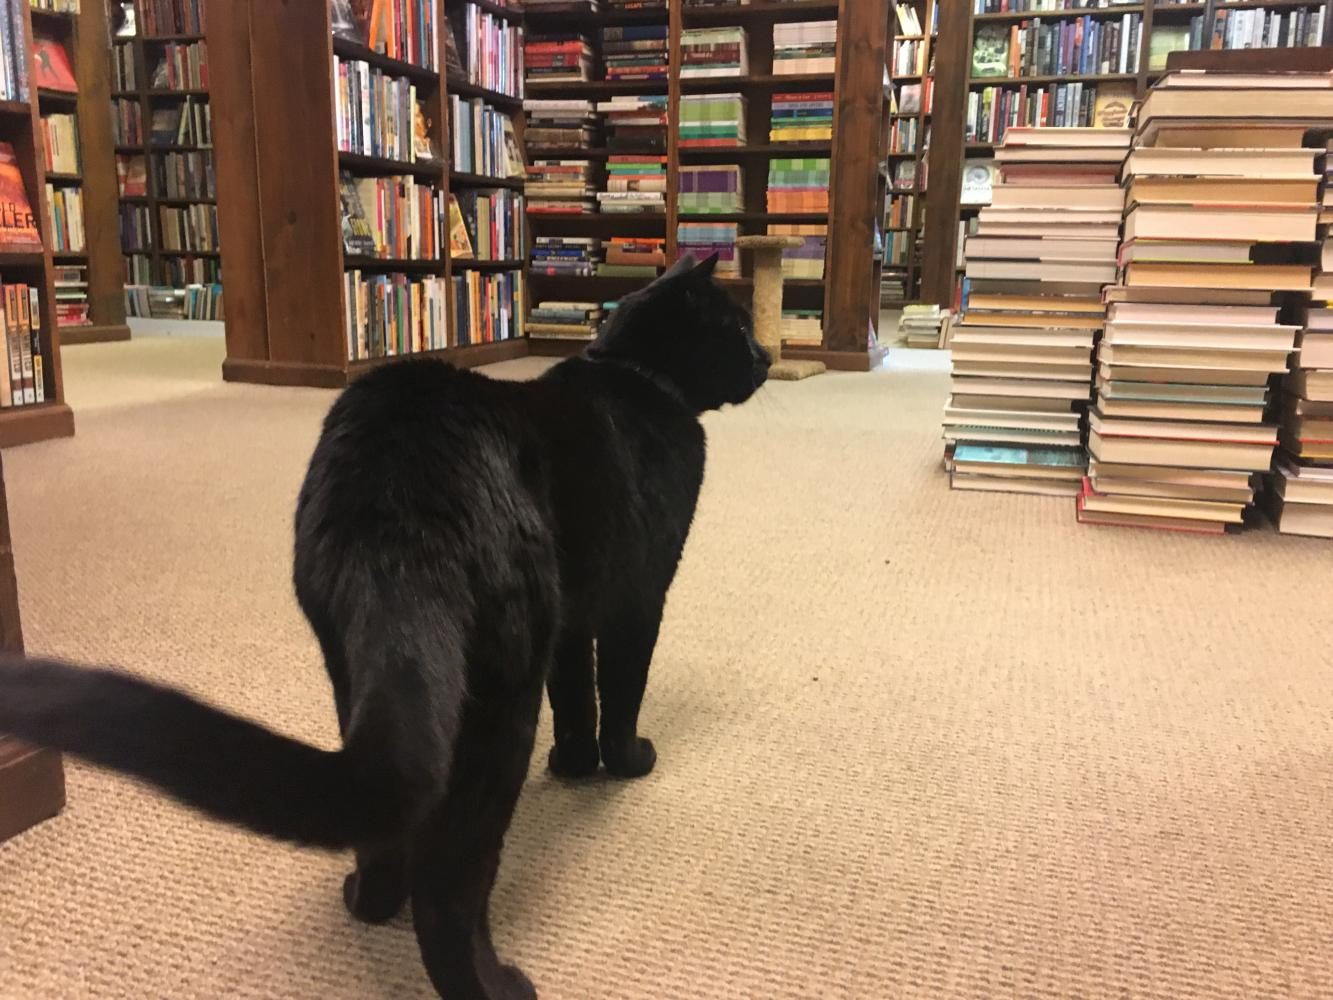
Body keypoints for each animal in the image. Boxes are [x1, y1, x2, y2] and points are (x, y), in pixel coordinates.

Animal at [0, 256, 773, 1000]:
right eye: (737, 329)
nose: (767, 356)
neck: (637, 375)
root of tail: (398, 499)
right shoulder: (637, 598)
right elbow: (619, 688)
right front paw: (626, 761)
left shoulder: (574, 614)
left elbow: (577, 696)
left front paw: (575, 764)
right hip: (501, 691)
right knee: (453, 880)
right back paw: (494, 982)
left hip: (358, 666)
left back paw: (367, 902)